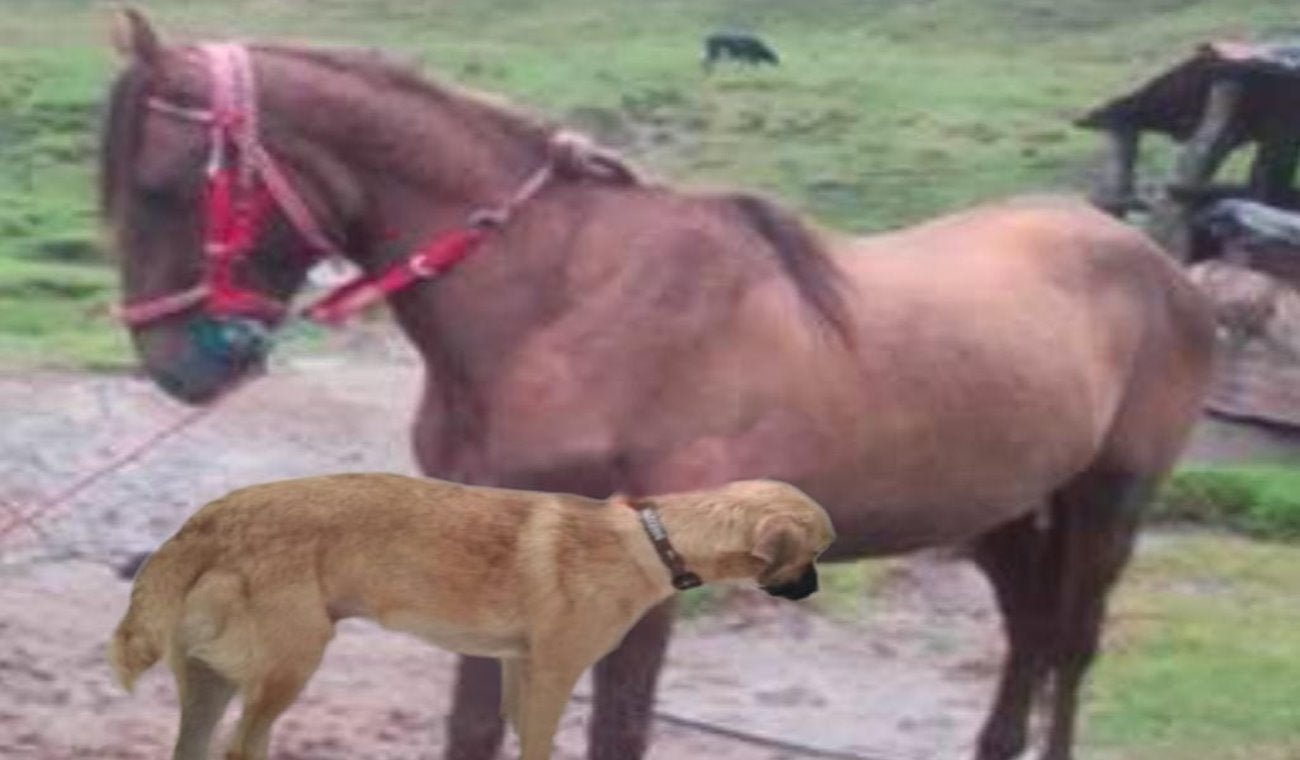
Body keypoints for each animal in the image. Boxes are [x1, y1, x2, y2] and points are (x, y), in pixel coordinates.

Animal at [100, 9, 1216, 760]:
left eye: (158, 185)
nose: (179, 367)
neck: (566, 297)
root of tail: (1153, 262)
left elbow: (618, 731)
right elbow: (475, 726)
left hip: (1107, 505)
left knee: (1070, 650)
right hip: (1006, 515)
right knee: (1029, 640)